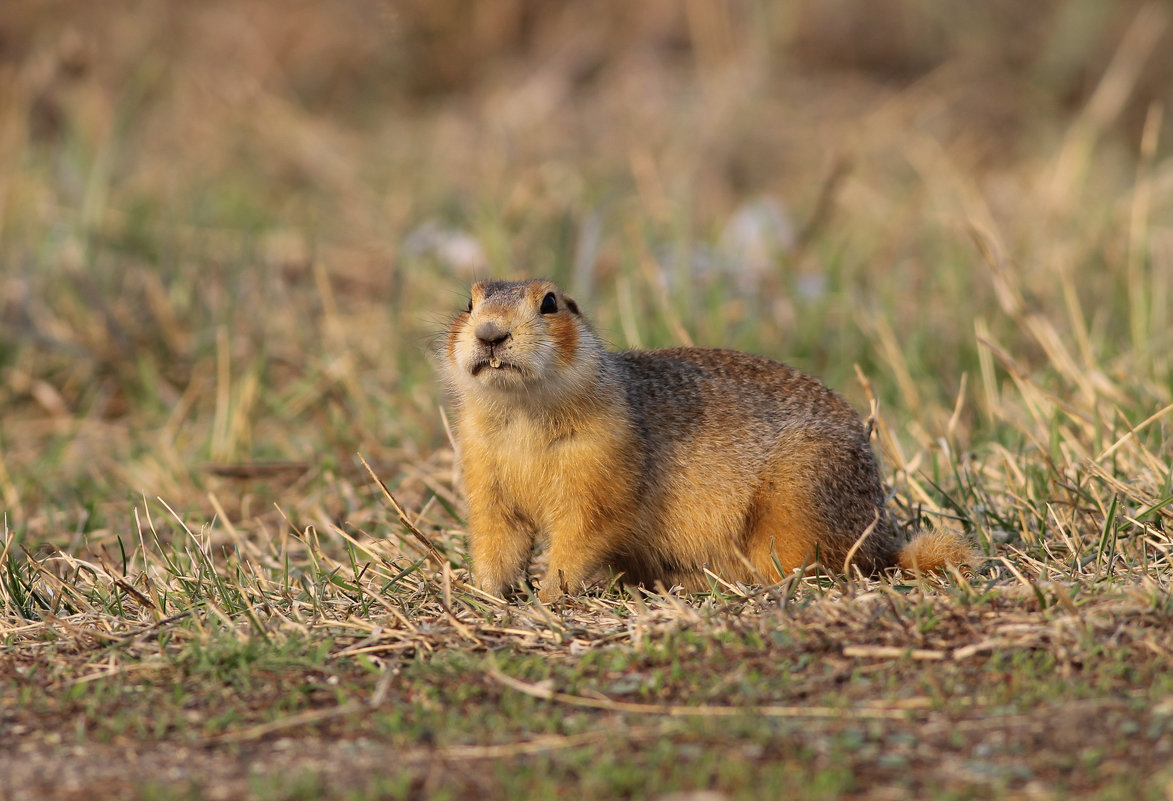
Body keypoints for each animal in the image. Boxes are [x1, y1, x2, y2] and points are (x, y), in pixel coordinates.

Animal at [441, 279, 971, 598]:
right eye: (469, 303)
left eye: (549, 302)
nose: (489, 333)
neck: (523, 416)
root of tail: (884, 543)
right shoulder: (481, 463)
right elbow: (496, 531)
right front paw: (486, 590)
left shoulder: (605, 456)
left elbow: (586, 527)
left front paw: (552, 591)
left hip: (799, 500)